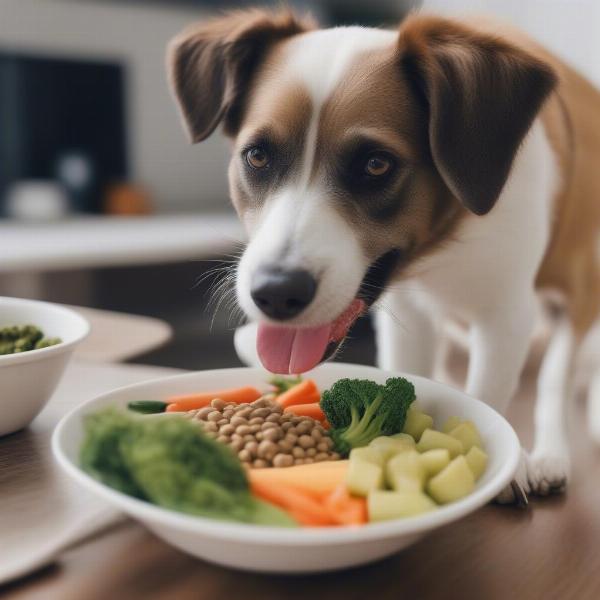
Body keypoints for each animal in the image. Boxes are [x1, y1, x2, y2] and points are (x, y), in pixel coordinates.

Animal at [166, 10, 600, 502]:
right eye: (257, 156)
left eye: (375, 165)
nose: (276, 293)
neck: (445, 244)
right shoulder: (411, 314)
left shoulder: (509, 312)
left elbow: (496, 390)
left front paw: (508, 463)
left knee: (556, 376)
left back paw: (552, 452)